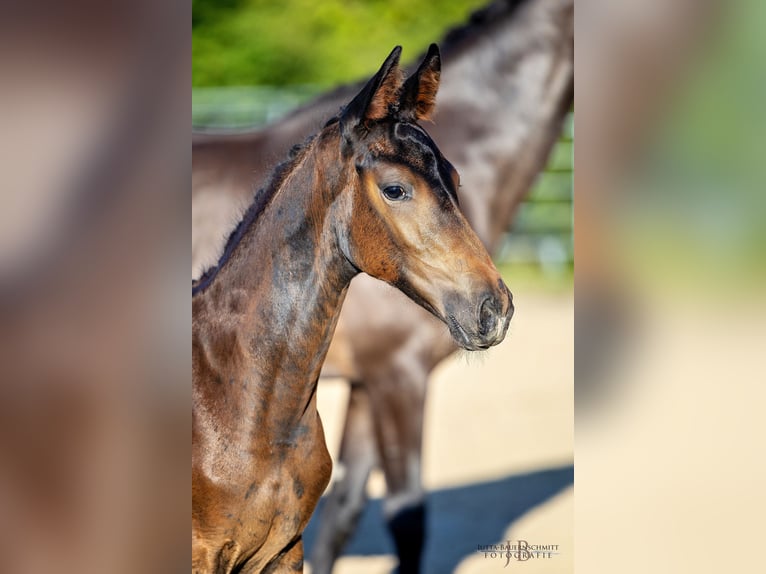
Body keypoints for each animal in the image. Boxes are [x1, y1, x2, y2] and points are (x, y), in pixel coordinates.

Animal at [195, 0, 572, 572]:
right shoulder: (397, 374)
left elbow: (344, 512)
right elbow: (407, 515)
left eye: (455, 179)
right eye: (395, 189)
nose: (495, 309)